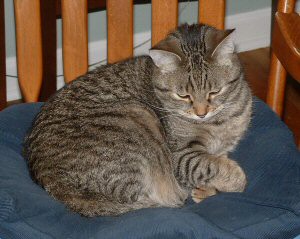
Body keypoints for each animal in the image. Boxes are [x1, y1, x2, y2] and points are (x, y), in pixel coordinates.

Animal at [24, 23, 252, 217]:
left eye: (215, 92)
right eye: (183, 96)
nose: (201, 113)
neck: (221, 121)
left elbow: (214, 163)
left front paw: (208, 188)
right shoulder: (181, 155)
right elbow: (210, 167)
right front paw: (234, 180)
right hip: (136, 115)